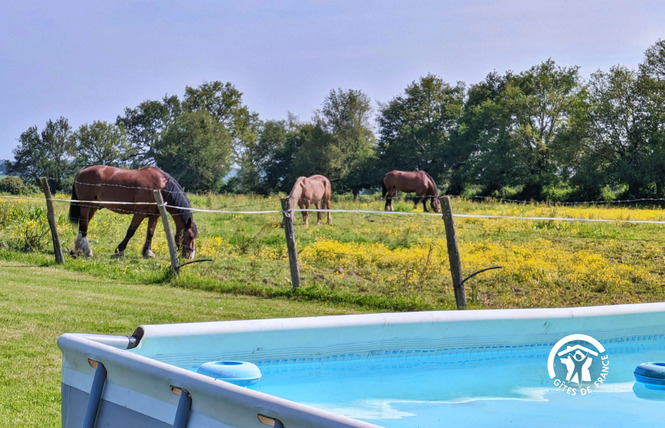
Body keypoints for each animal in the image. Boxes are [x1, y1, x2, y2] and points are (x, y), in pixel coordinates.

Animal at [68, 166, 197, 260]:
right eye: (190, 236)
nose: (189, 256)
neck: (161, 187)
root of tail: (81, 172)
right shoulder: (139, 213)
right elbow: (131, 231)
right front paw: (119, 250)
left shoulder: (155, 215)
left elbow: (150, 233)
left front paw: (148, 252)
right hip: (86, 206)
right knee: (84, 226)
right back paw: (87, 251)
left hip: (93, 207)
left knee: (82, 226)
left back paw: (76, 251)